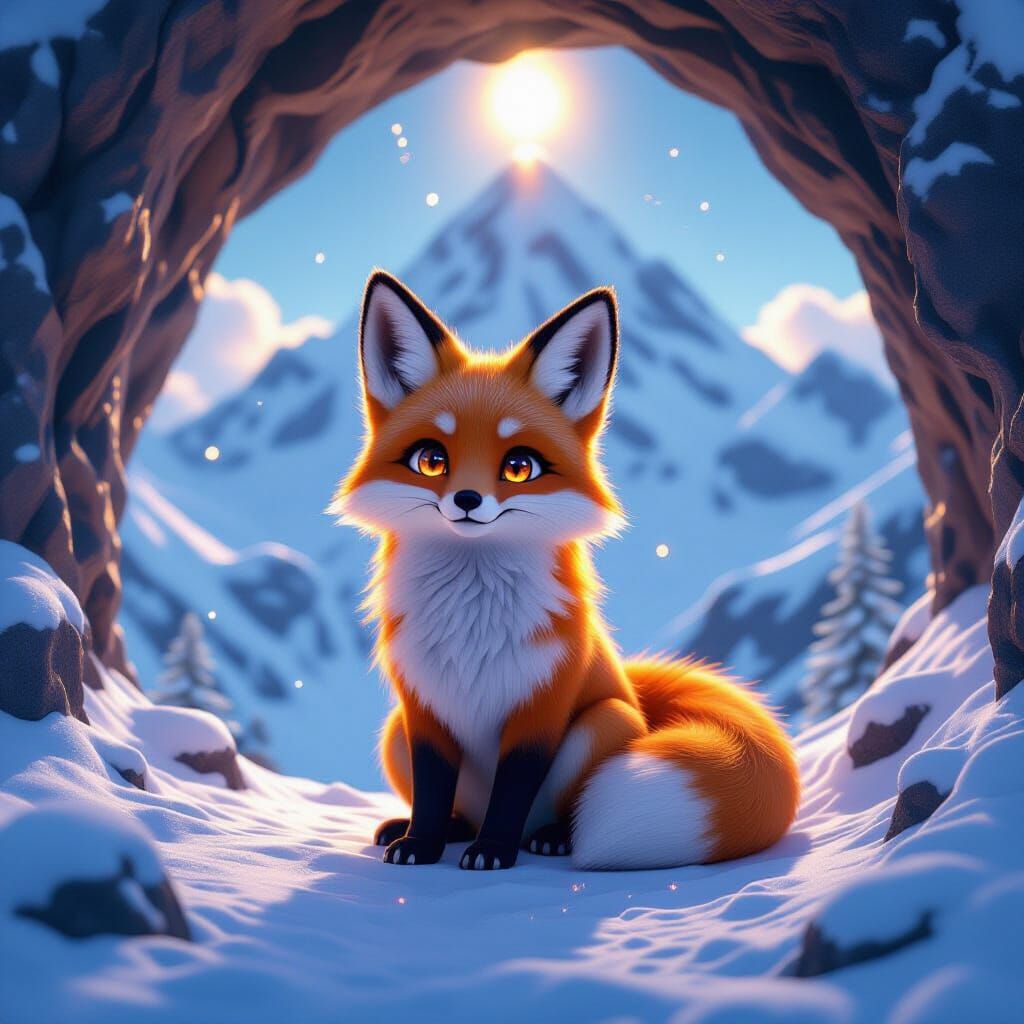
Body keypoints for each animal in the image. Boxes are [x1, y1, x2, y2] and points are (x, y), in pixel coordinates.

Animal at [331, 270, 800, 871]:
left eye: (519, 467)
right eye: (431, 460)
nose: (467, 500)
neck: (473, 624)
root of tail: (635, 694)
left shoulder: (542, 707)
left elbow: (513, 790)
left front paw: (493, 853)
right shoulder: (423, 709)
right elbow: (432, 791)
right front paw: (421, 843)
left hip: (605, 722)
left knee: (557, 809)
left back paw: (549, 838)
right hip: (393, 734)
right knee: (456, 806)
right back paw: (434, 828)